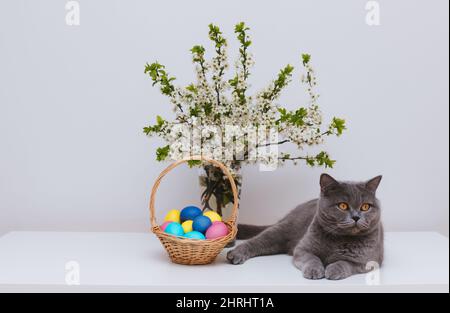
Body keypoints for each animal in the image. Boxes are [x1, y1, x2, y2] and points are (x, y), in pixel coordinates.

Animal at [229, 173, 384, 280]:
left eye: (365, 207)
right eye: (343, 206)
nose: (356, 217)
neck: (339, 240)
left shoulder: (368, 260)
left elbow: (344, 262)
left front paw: (333, 270)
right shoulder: (302, 249)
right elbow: (312, 258)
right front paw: (315, 271)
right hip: (283, 229)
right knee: (256, 241)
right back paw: (235, 254)